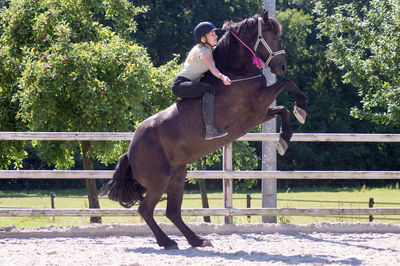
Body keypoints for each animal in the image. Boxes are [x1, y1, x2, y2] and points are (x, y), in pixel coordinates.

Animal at [101, 10, 308, 249]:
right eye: (272, 36)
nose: (281, 66)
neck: (235, 72)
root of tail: (130, 150)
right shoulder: (257, 104)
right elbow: (286, 84)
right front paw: (301, 106)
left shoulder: (259, 114)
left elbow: (283, 109)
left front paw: (285, 137)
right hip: (159, 181)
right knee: (146, 209)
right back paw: (167, 241)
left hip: (177, 176)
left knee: (172, 212)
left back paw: (197, 240)